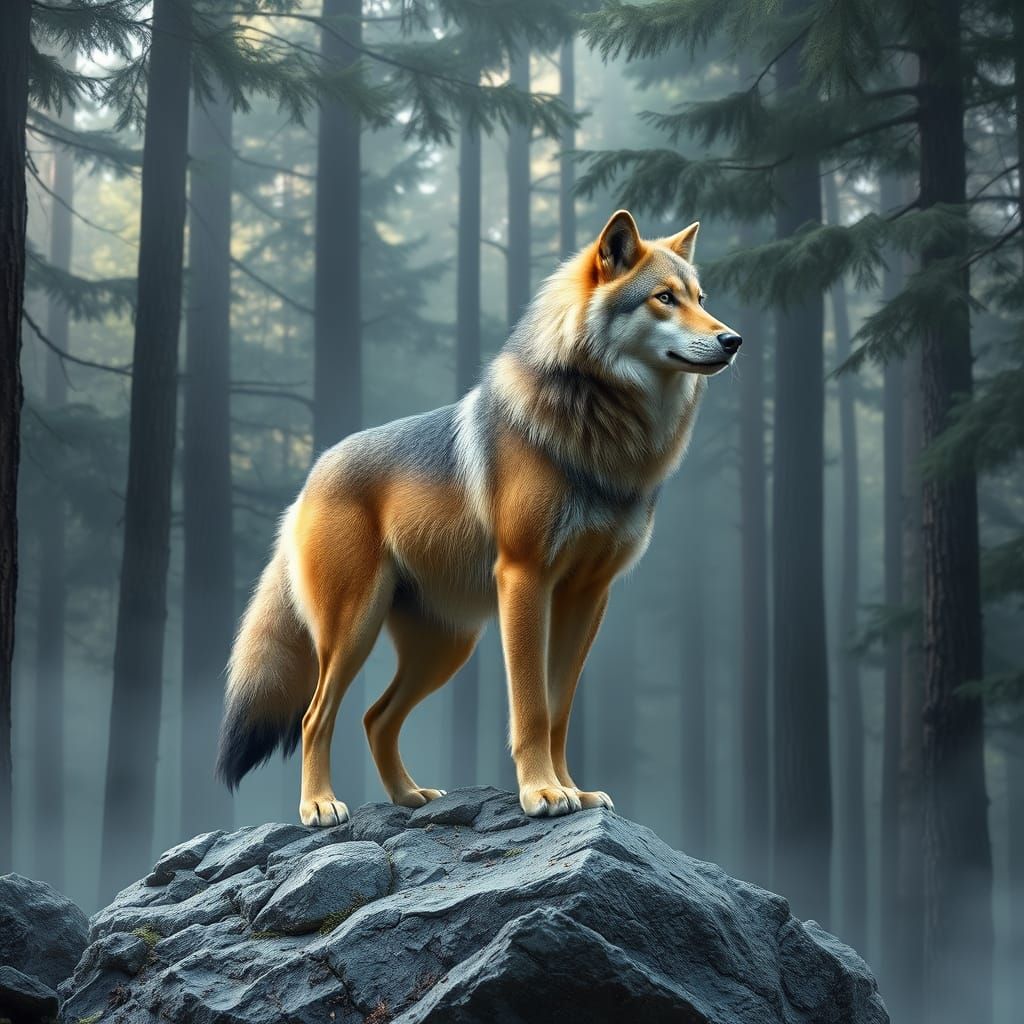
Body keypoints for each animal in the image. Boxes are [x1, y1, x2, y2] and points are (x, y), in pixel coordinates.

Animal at [216, 210, 741, 825]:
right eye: (664, 298)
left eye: (701, 298)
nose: (733, 339)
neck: (603, 436)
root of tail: (312, 475)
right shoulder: (524, 578)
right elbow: (532, 708)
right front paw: (542, 793)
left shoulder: (588, 595)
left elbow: (559, 710)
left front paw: (574, 791)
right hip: (354, 632)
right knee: (315, 716)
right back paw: (320, 806)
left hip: (447, 648)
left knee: (375, 717)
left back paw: (409, 797)